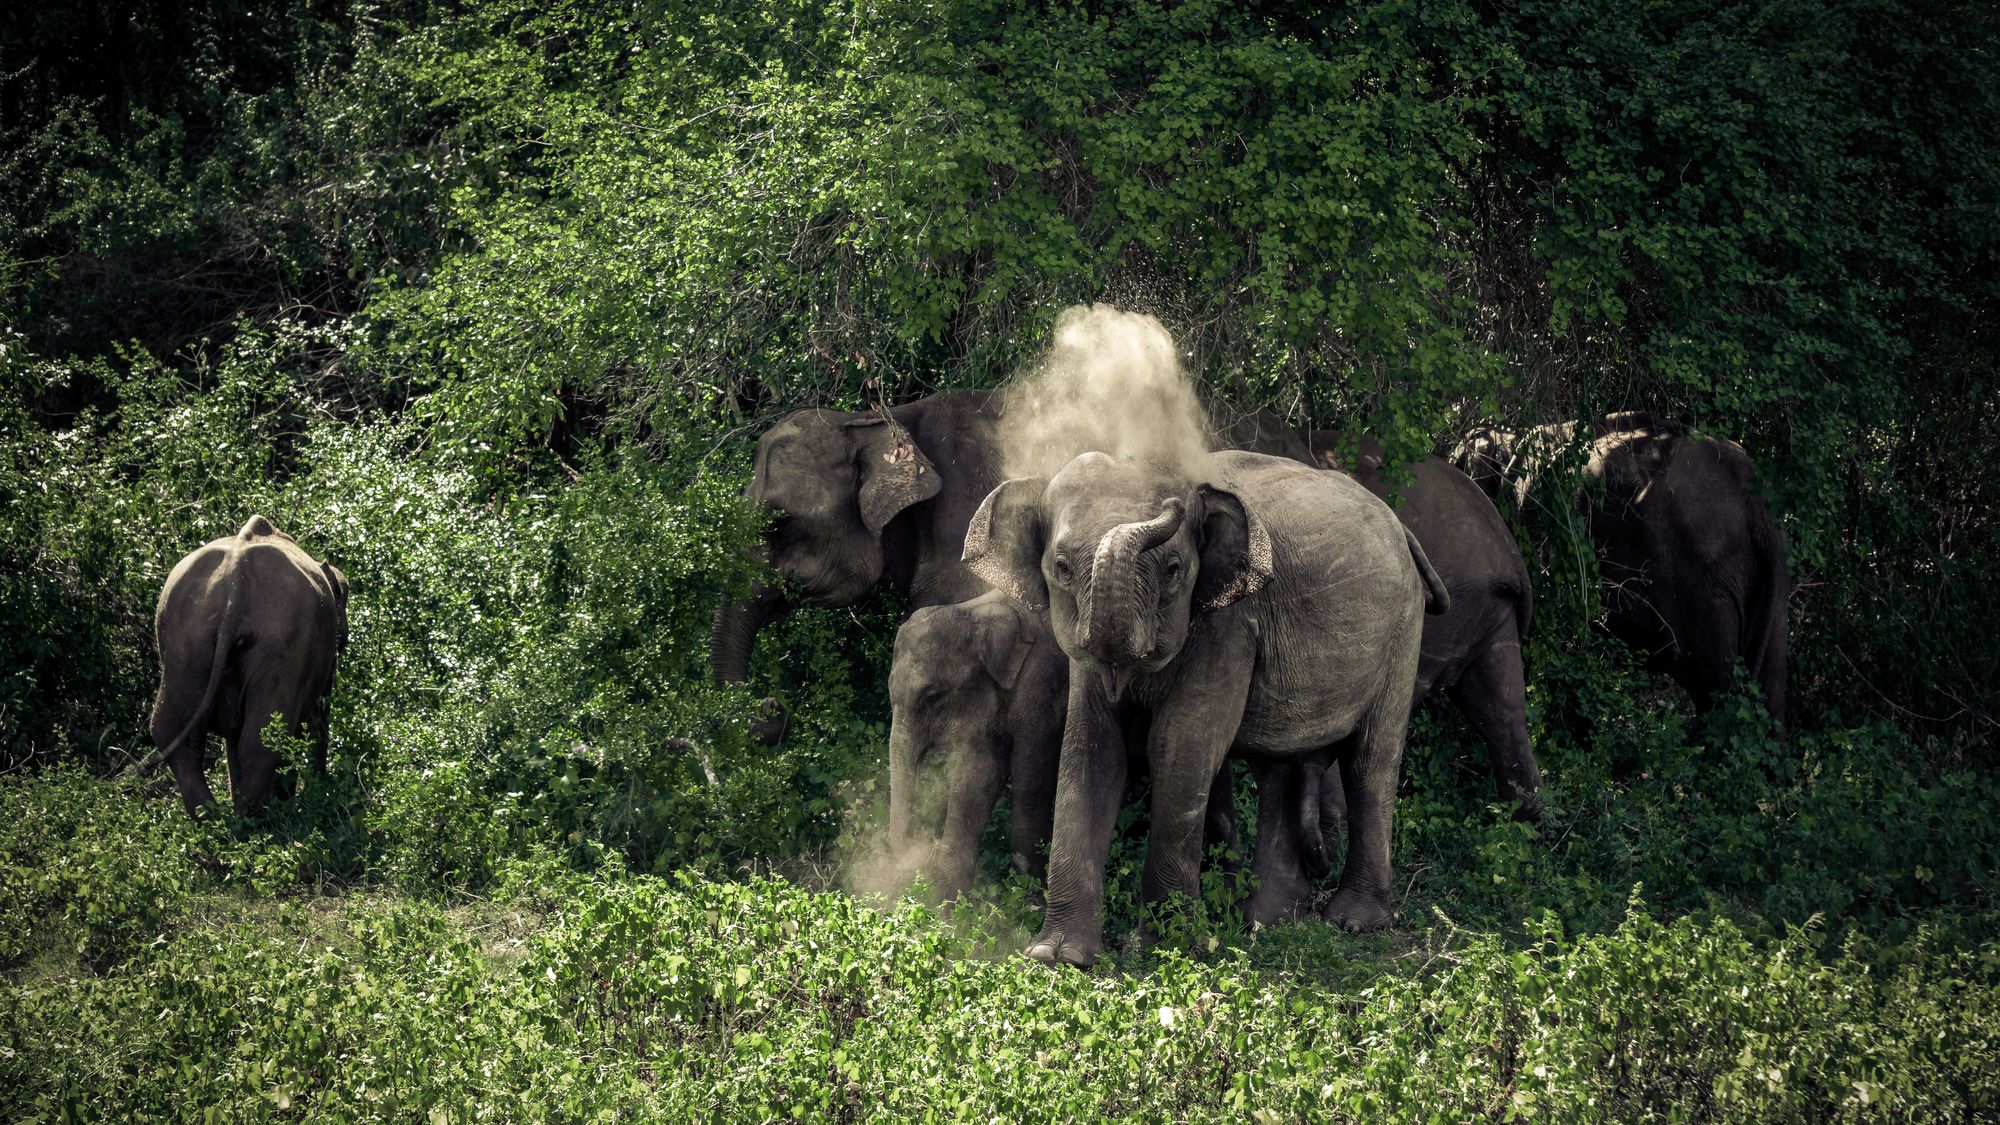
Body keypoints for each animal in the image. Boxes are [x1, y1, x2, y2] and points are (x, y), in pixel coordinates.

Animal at [146, 516, 352, 812]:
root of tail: (234, 584)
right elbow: (319, 709)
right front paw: (316, 790)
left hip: (185, 638)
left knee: (173, 729)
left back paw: (218, 816)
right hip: (282, 642)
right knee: (268, 737)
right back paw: (258, 815)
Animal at [888, 588, 1072, 892]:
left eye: (933, 696)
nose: (917, 857)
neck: (976, 614)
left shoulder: (1044, 681)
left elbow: (1031, 778)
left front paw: (1027, 891)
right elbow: (978, 776)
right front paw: (950, 899)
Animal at [964, 448, 1448, 964]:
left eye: (1174, 569)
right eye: (1061, 568)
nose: (1176, 505)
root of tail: (1402, 528)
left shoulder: (1230, 623)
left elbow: (1179, 745)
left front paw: (1165, 950)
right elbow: (1092, 751)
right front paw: (1057, 956)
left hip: (1403, 630)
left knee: (1370, 761)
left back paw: (1353, 922)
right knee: (1278, 768)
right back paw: (1269, 921)